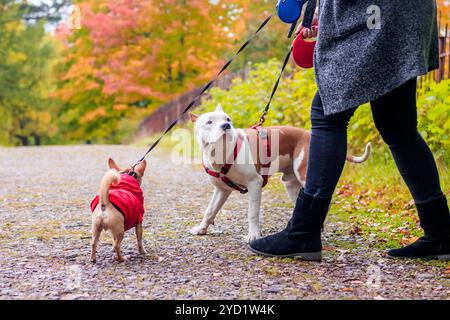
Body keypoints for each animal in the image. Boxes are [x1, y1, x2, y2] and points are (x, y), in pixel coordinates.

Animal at [188, 105, 370, 242]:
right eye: (209, 122)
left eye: (227, 119)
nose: (226, 126)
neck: (222, 152)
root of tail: (309, 133)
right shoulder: (222, 190)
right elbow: (210, 210)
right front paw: (201, 228)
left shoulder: (255, 184)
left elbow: (252, 213)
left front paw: (253, 235)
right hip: (291, 185)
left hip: (305, 175)